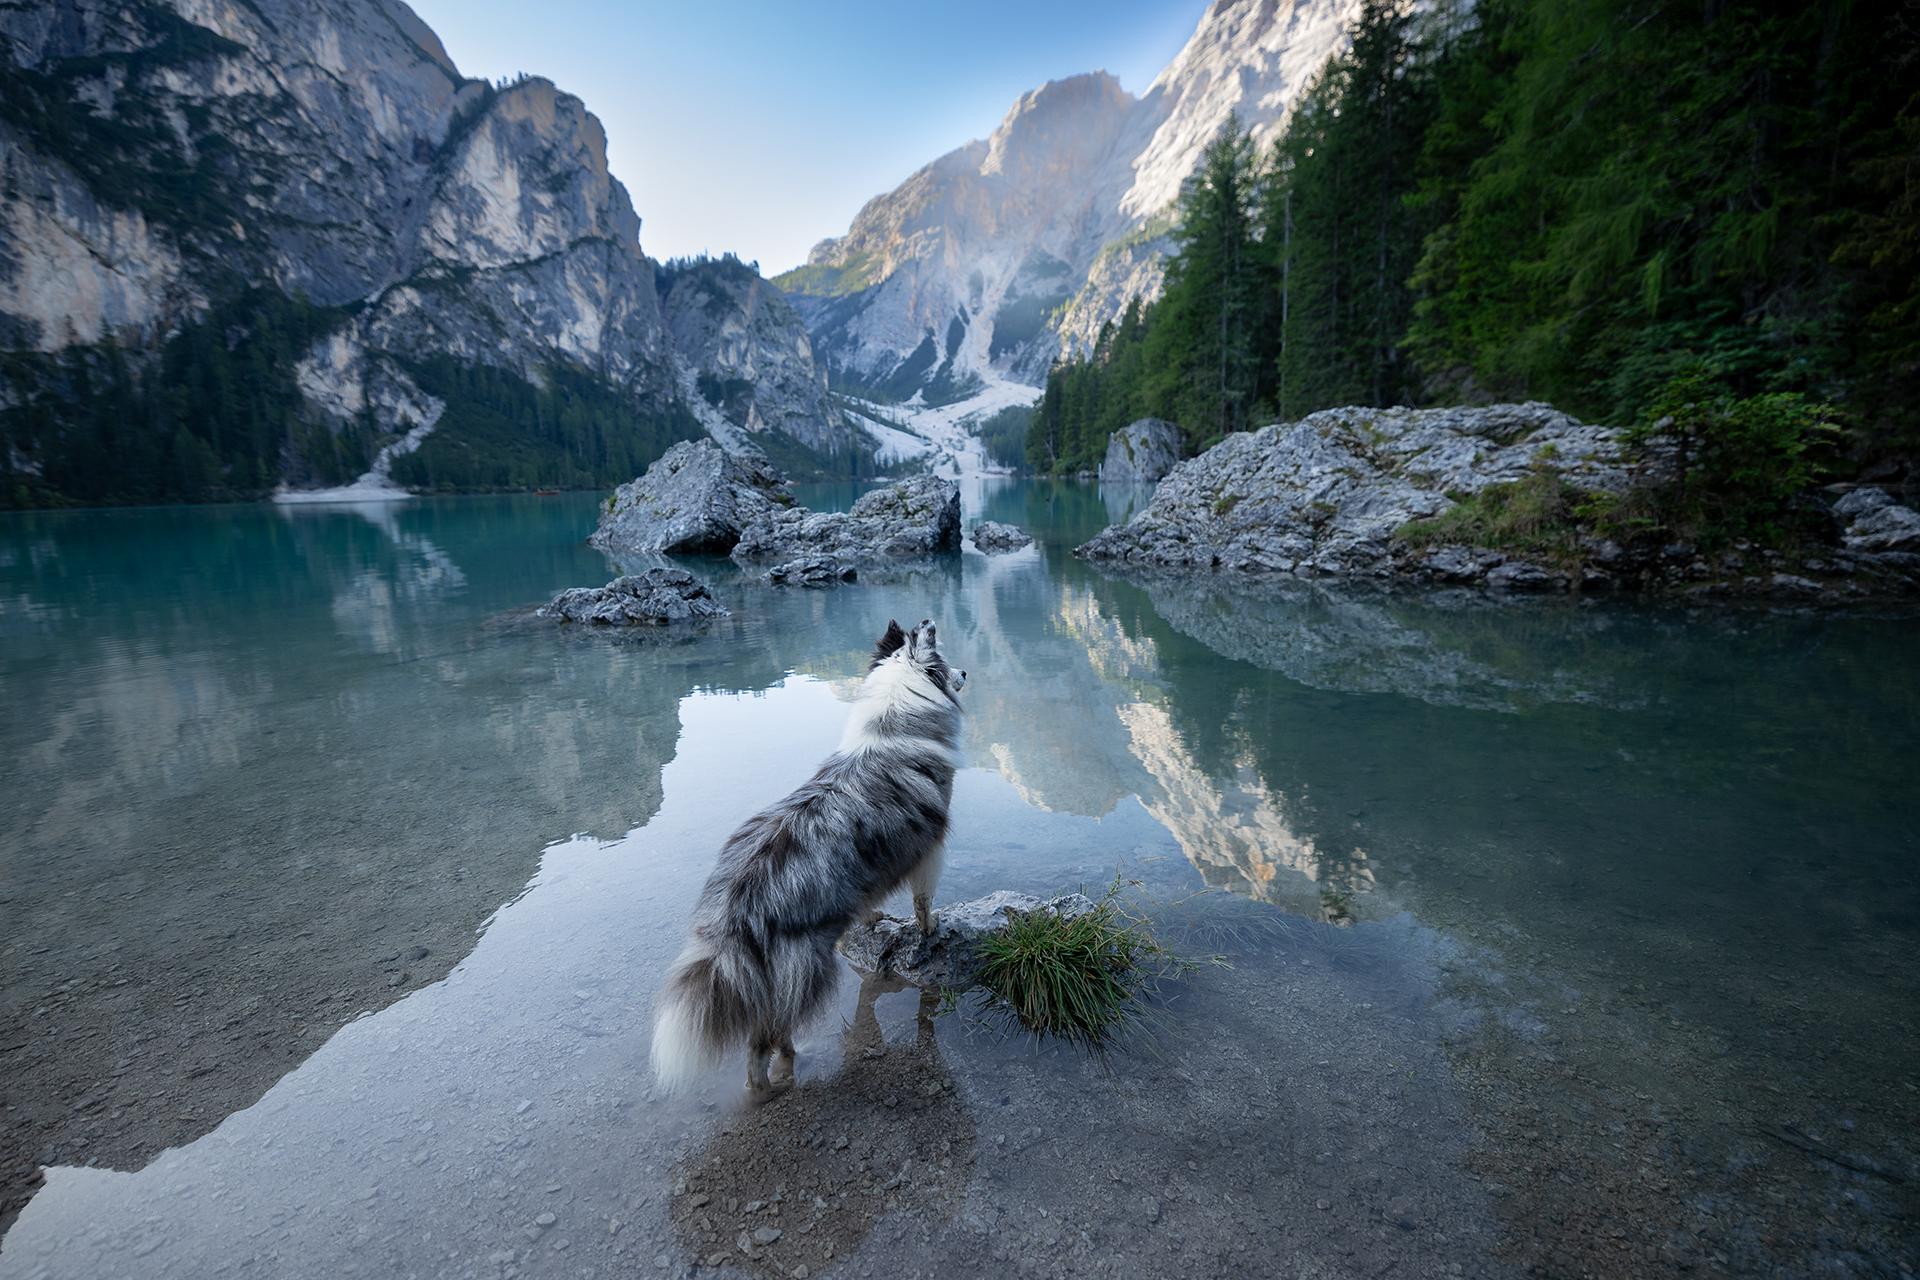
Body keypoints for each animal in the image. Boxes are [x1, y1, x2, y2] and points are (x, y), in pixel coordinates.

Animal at [652, 614, 967, 1097]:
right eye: (946, 665)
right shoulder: (930, 849)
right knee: (764, 1038)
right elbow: (923, 901)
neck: (895, 725)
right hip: (806, 968)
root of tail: (736, 903)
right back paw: (773, 1081)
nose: (966, 673)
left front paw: (873, 918)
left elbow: (869, 905)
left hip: (767, 974)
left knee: (761, 1033)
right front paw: (931, 930)